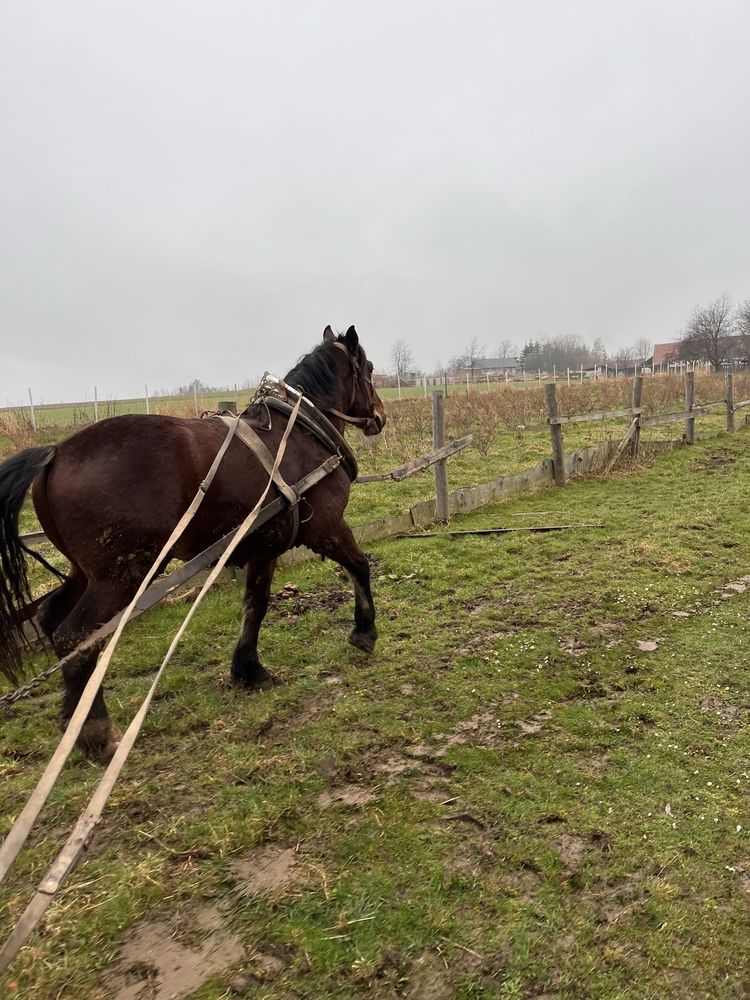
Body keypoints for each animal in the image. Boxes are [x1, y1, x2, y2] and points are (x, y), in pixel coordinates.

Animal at [0, 326, 388, 756]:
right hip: (122, 575)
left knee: (54, 622)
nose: (380, 416)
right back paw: (96, 730)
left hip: (86, 572)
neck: (302, 431)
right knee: (77, 636)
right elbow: (359, 566)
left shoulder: (263, 546)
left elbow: (255, 605)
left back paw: (74, 721)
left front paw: (249, 670)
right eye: (369, 367)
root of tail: (55, 453)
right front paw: (364, 632)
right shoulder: (327, 528)